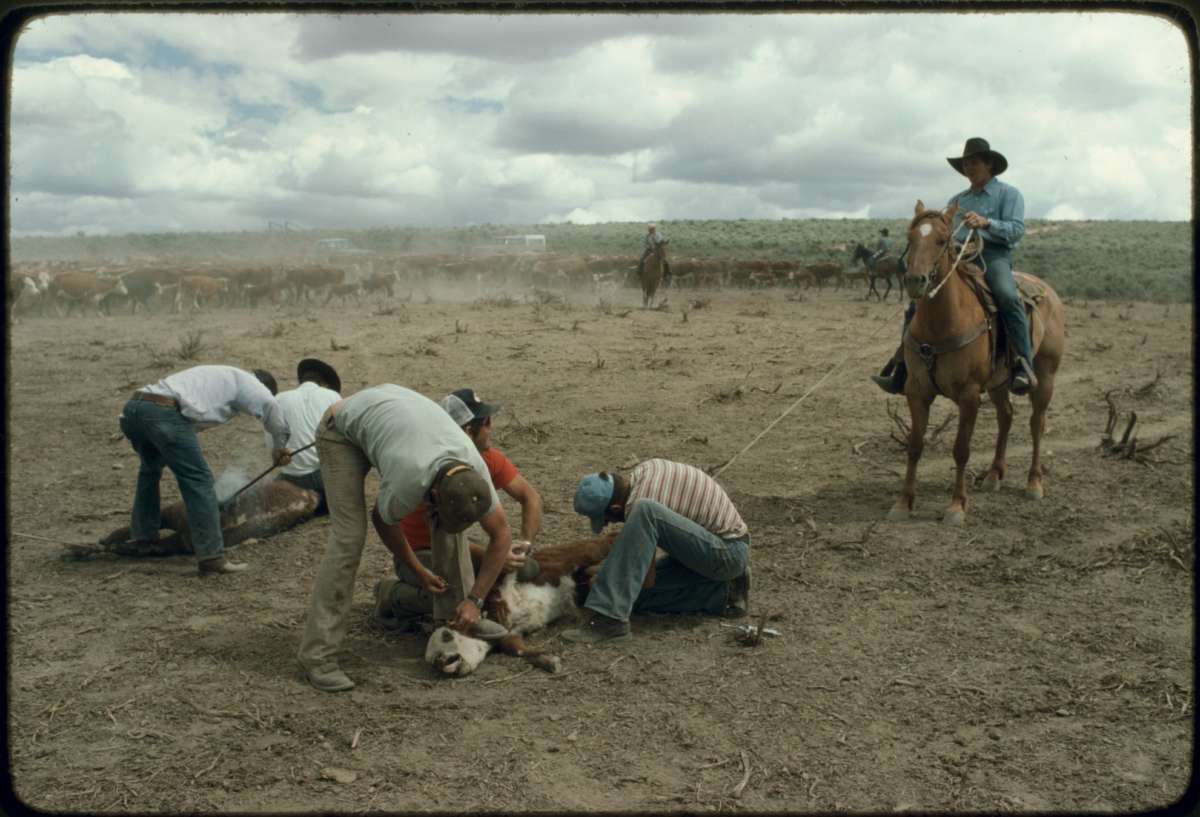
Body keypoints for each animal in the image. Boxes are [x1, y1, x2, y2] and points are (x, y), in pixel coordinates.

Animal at [888, 200, 1065, 525]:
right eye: (910, 238)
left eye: (942, 240)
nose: (915, 281)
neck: (942, 322)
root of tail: (1049, 292)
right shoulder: (917, 391)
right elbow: (915, 446)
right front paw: (904, 502)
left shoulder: (969, 395)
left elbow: (961, 449)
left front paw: (956, 506)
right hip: (997, 383)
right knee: (1006, 416)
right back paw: (994, 475)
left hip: (1046, 376)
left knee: (1037, 423)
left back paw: (1034, 483)